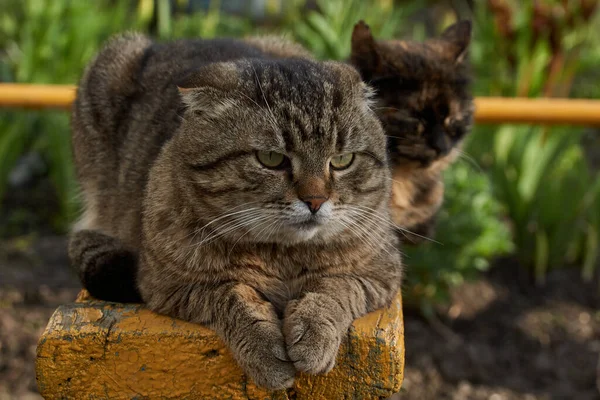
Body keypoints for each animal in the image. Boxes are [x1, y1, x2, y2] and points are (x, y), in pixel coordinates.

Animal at [69, 34, 404, 390]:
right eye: (271, 159)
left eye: (342, 160)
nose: (315, 201)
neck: (282, 256)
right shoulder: (167, 285)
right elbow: (234, 296)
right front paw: (265, 350)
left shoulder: (380, 274)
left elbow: (333, 289)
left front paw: (314, 336)